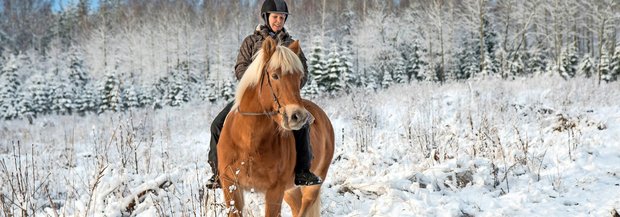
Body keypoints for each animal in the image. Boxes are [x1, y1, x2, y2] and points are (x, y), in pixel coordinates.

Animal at [217, 36, 334, 216]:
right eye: (274, 76)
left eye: (299, 77)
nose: (298, 116)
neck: (249, 142)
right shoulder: (231, 186)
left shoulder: (274, 190)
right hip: (290, 190)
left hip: (313, 185)